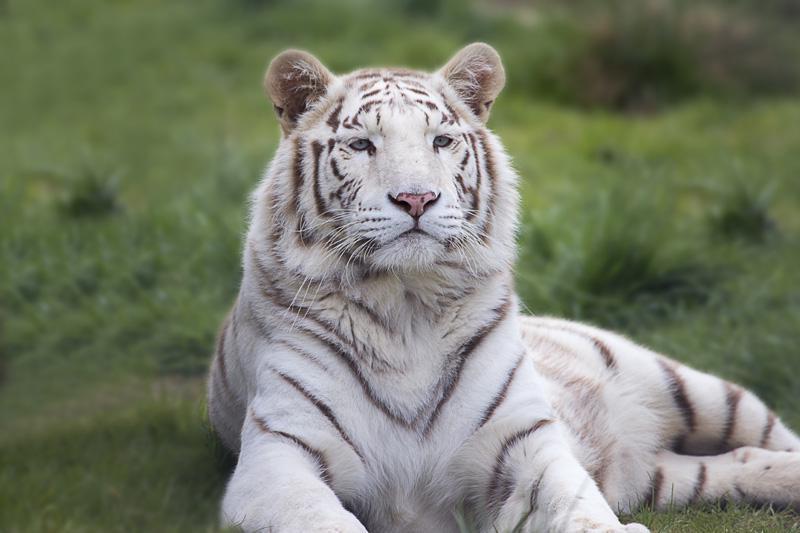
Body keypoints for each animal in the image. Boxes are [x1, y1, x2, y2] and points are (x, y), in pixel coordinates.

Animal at [207, 43, 800, 533]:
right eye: (361, 144)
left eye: (441, 141)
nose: (417, 198)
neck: (405, 305)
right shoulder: (278, 458)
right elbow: (322, 520)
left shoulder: (523, 443)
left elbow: (578, 505)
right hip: (664, 474)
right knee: (737, 462)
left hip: (692, 388)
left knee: (769, 436)